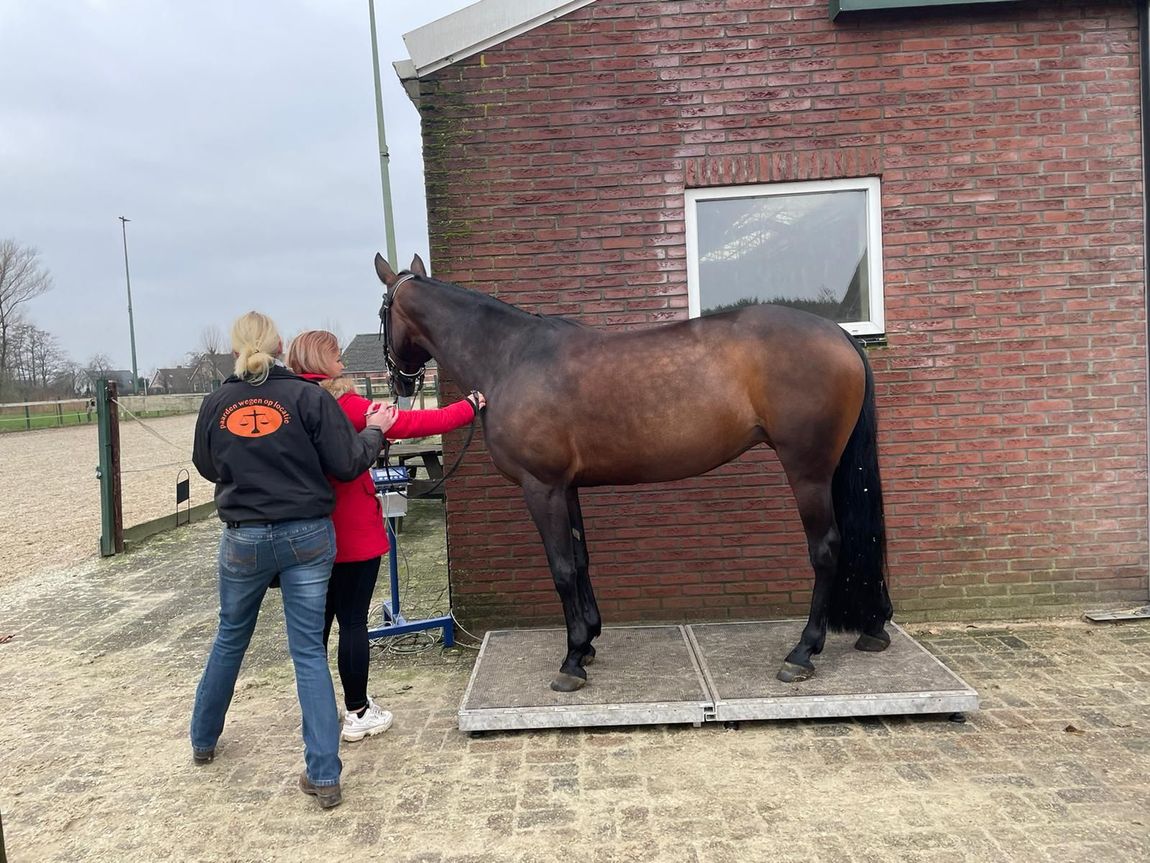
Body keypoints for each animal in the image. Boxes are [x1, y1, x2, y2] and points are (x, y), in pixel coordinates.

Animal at [374, 253, 892, 693]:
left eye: (382, 312)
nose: (399, 382)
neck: (510, 358)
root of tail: (840, 334)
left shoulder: (541, 487)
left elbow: (561, 568)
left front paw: (571, 661)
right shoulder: (566, 487)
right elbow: (581, 560)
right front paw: (588, 640)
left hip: (808, 470)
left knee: (826, 549)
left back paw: (802, 652)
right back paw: (873, 628)